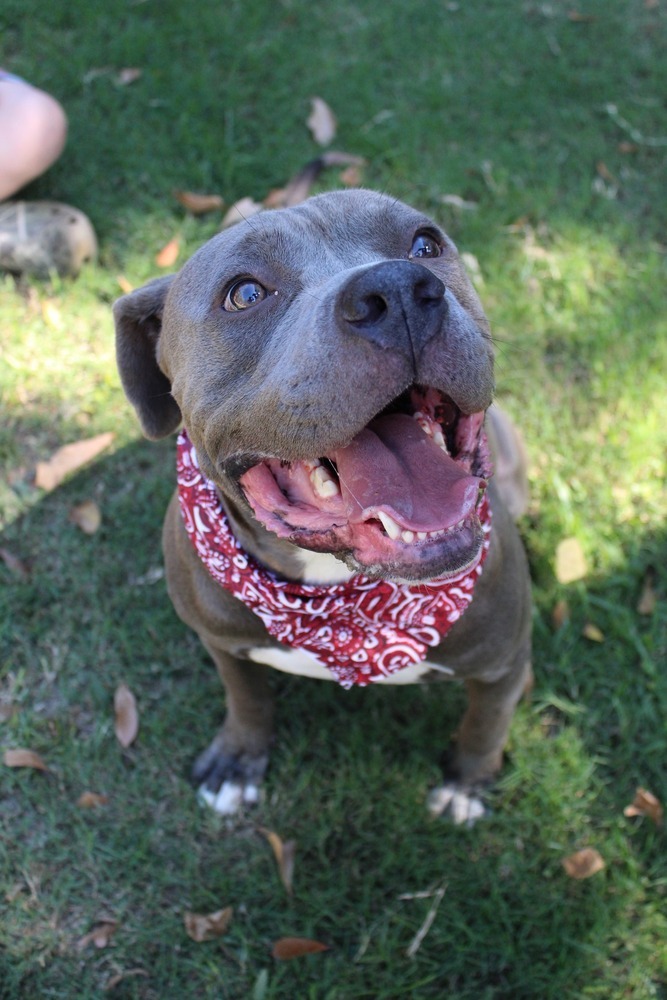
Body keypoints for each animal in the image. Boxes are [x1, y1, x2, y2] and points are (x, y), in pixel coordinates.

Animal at [113, 191, 532, 824]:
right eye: (244, 294)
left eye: (425, 244)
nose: (398, 288)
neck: (335, 591)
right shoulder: (221, 641)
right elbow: (247, 695)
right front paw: (239, 757)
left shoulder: (505, 662)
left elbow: (486, 722)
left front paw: (468, 782)